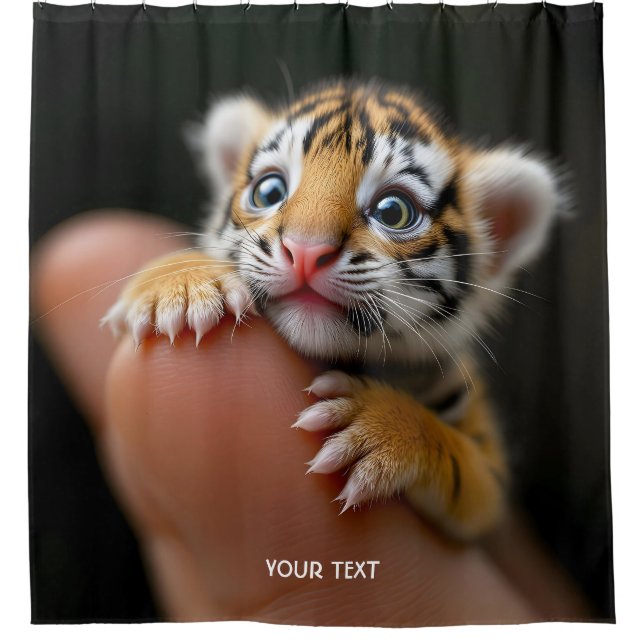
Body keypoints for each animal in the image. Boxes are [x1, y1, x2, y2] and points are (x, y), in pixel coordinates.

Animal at [103, 78, 560, 540]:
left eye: (393, 211)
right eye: (269, 192)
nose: (305, 250)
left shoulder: (491, 483)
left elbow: (463, 466)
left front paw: (379, 431)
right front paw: (180, 284)